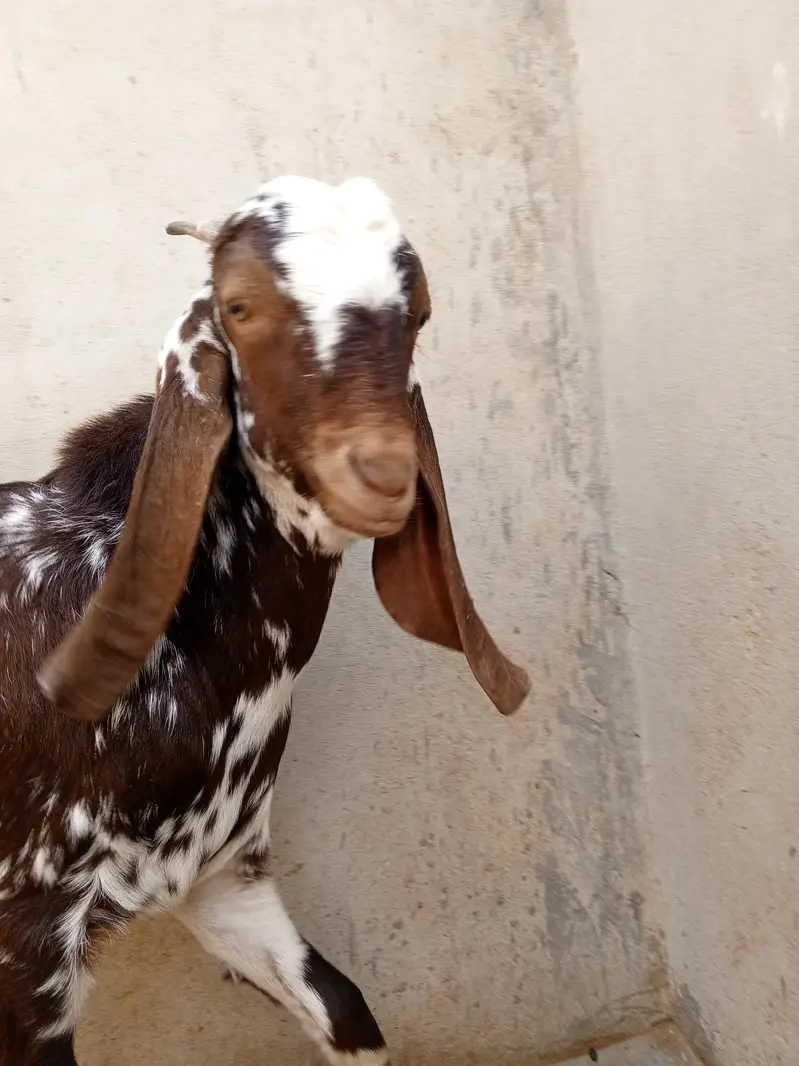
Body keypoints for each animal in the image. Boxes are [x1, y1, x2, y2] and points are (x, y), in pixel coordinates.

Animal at [0, 175, 530, 1066]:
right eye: (240, 306)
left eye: (417, 312)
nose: (381, 474)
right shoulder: (28, 937)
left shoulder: (222, 879)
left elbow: (346, 1010)